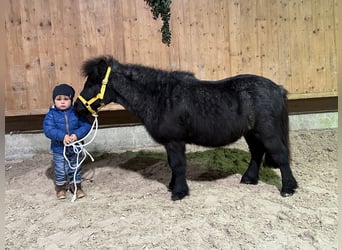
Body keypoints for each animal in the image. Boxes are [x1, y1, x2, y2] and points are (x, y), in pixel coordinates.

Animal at [74, 55, 296, 200]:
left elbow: (179, 165)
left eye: (93, 83)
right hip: (252, 133)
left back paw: (288, 188)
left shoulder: (175, 141)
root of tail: (277, 88)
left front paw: (179, 192)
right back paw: (249, 179)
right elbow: (173, 165)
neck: (160, 97)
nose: (77, 107)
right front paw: (173, 186)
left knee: (280, 155)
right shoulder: (170, 143)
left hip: (268, 132)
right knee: (257, 153)